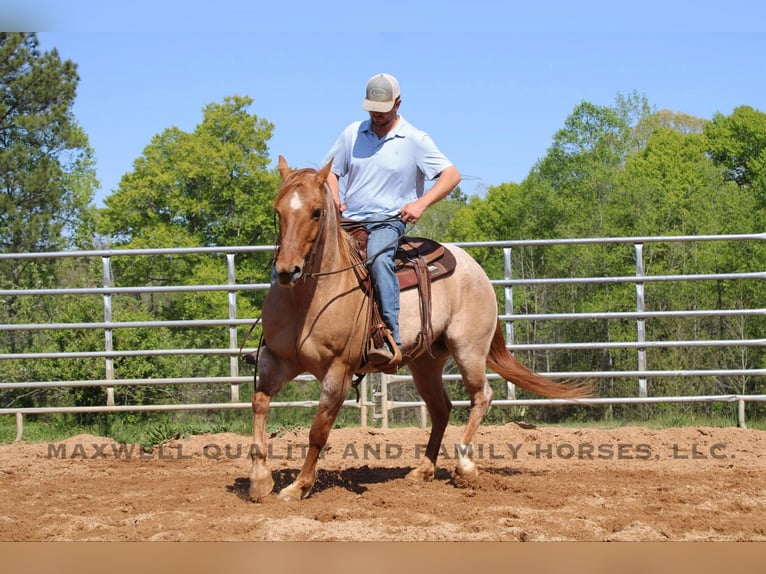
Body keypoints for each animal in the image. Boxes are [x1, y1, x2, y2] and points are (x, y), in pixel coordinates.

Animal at [248, 156, 591, 502]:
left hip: (469, 350)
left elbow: (318, 431)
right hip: (426, 362)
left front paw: (298, 486)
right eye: (278, 210)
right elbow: (259, 402)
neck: (308, 298)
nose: (287, 270)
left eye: (317, 211)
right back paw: (423, 470)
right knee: (441, 408)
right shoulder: (277, 360)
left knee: (481, 396)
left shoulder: (339, 370)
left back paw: (464, 465)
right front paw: (260, 479)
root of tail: (474, 267)